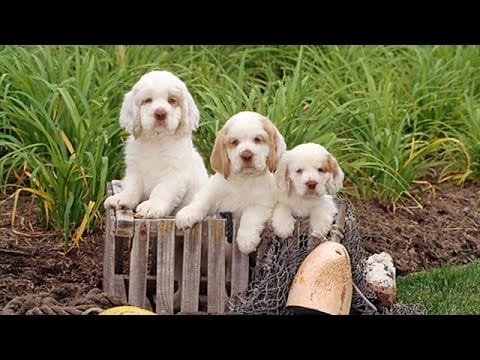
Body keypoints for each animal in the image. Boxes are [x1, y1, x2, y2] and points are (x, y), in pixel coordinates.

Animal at [103, 69, 208, 217]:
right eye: (147, 100)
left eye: (172, 100)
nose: (160, 113)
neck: (156, 140)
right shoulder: (135, 169)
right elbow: (132, 187)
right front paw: (121, 198)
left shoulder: (174, 173)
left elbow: (162, 190)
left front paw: (151, 207)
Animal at [177, 111, 286, 255]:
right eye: (234, 142)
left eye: (257, 139)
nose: (246, 155)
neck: (244, 180)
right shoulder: (212, 192)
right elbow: (202, 201)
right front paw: (187, 214)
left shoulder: (263, 204)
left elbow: (250, 213)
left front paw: (246, 240)